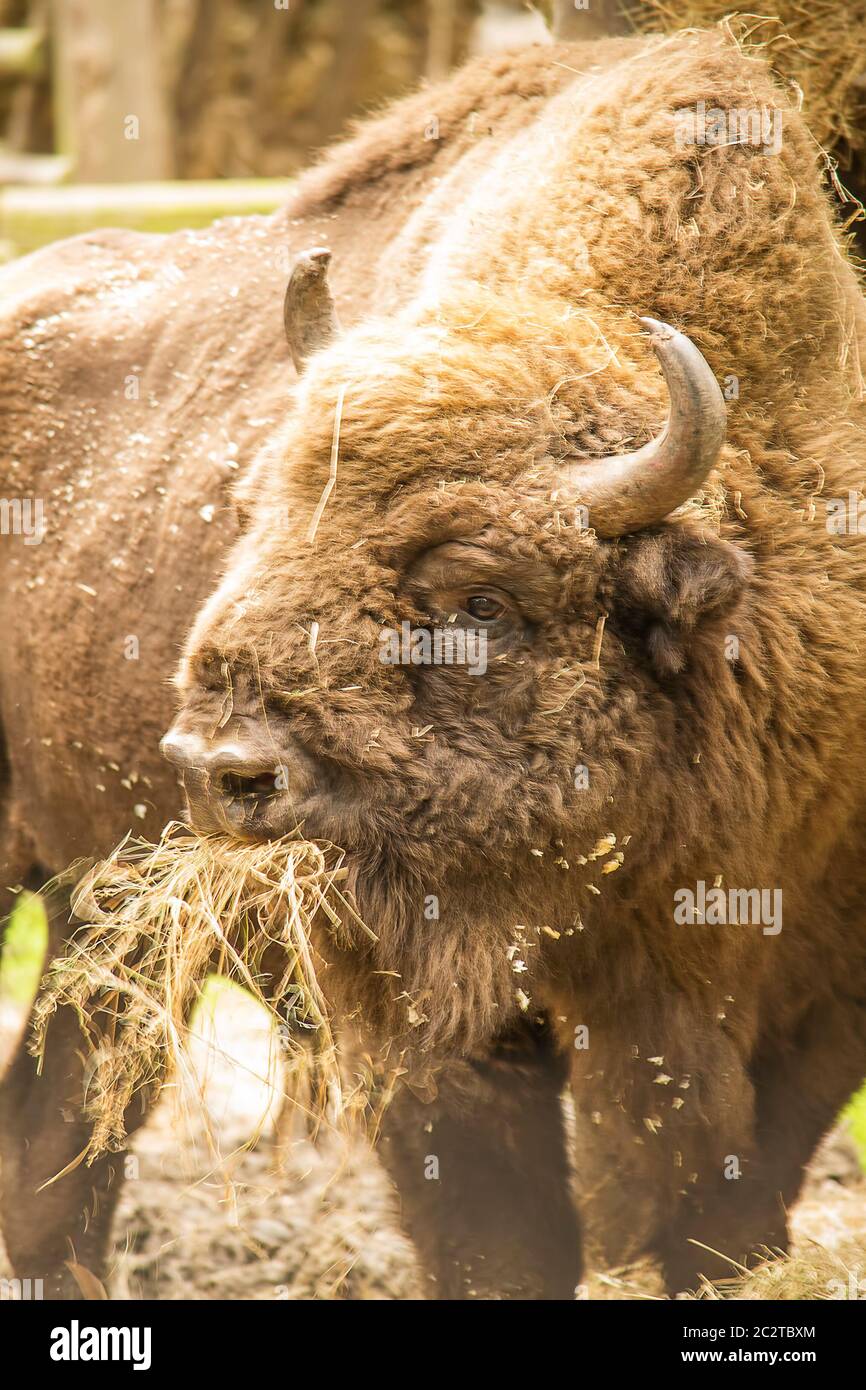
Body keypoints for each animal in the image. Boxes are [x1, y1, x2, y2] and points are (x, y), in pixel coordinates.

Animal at [1, 27, 866, 1295]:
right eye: (255, 514)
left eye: (478, 596)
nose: (218, 767)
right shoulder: (444, 1023)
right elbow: (501, 1231)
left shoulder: (807, 999)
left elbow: (722, 1207)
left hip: (101, 914)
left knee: (56, 1134)